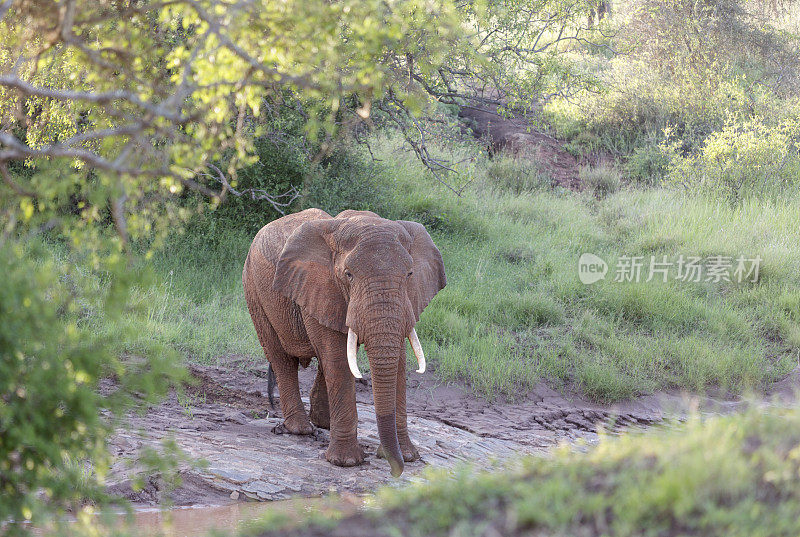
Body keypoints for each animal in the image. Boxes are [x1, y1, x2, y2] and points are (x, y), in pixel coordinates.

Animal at [241, 207, 446, 476]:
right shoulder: (320, 287)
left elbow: (399, 362)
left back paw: (323, 423)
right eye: (348, 275)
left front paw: (409, 456)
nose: (395, 469)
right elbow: (337, 359)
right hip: (254, 291)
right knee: (282, 358)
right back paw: (301, 429)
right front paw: (346, 462)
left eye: (410, 274)